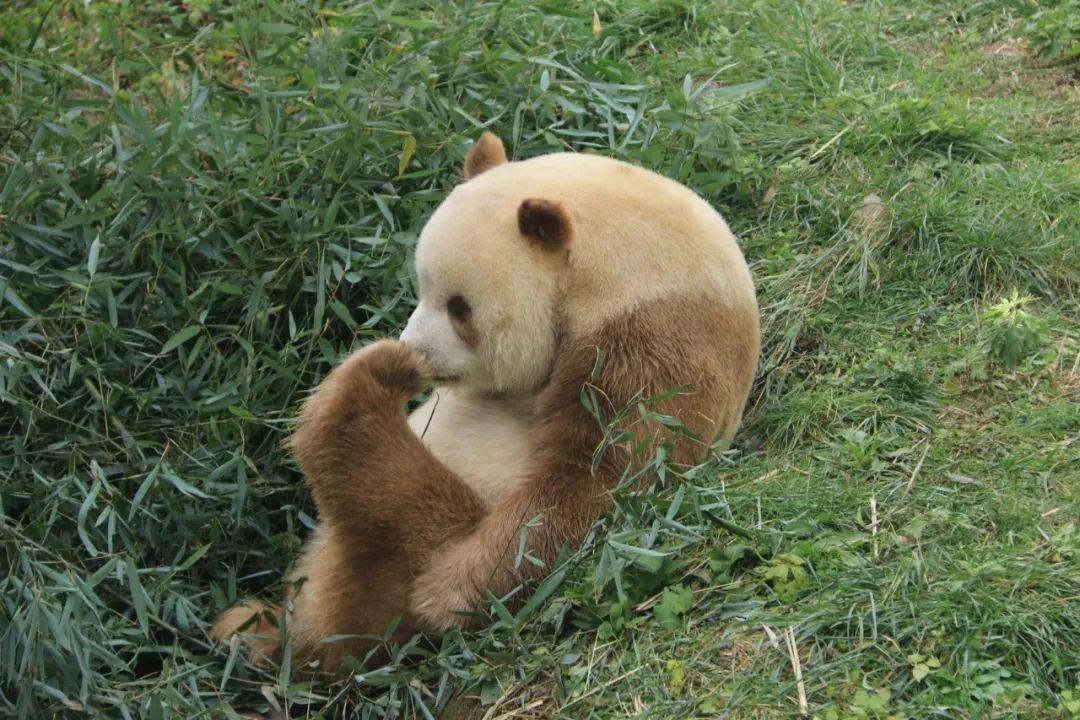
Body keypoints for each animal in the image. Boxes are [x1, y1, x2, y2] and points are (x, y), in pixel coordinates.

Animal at [211, 132, 760, 673]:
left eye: (460, 307)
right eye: (422, 286)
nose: (418, 351)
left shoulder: (650, 342)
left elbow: (603, 475)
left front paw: (450, 592)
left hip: (412, 544)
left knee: (387, 508)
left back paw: (368, 386)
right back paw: (247, 632)